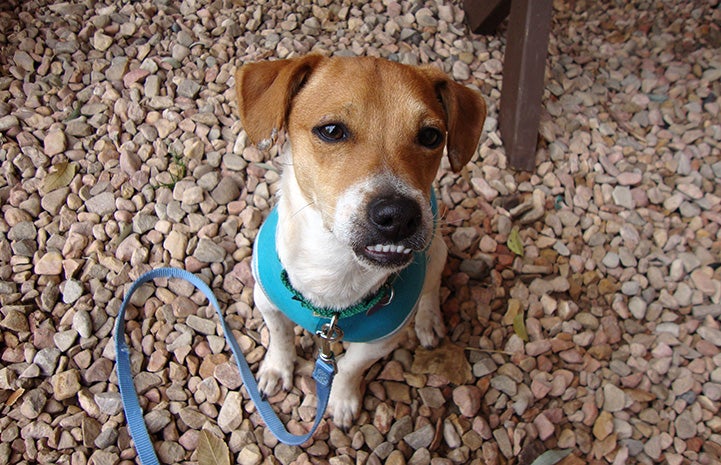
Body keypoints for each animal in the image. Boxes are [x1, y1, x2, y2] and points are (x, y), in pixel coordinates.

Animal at [233, 55, 486, 428]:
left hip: (437, 251)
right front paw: (277, 369)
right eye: (331, 130)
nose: (398, 215)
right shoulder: (265, 300)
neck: (334, 273)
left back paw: (428, 321)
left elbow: (350, 367)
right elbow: (280, 336)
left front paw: (341, 399)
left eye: (430, 135)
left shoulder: (382, 340)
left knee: (433, 286)